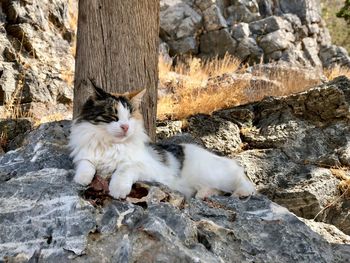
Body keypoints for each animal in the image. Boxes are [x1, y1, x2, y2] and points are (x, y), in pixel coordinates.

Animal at [68, 82, 256, 200]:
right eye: (113, 117)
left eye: (129, 117)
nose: (125, 127)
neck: (111, 145)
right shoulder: (84, 156)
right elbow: (86, 164)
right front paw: (82, 178)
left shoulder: (147, 168)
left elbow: (124, 169)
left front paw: (118, 189)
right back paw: (203, 194)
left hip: (217, 174)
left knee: (244, 181)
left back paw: (241, 193)